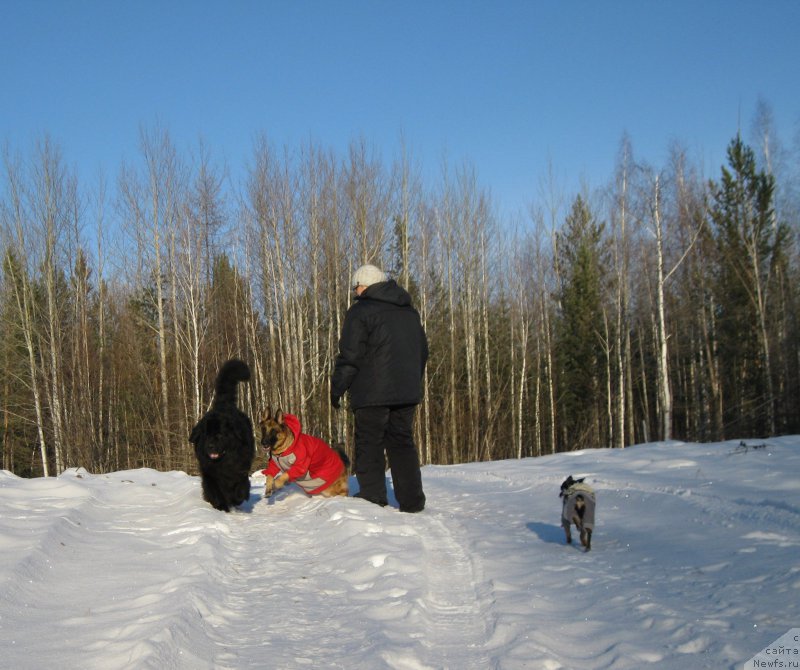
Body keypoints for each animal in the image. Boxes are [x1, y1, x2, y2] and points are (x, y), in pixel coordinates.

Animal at [189, 360, 255, 512]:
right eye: (206, 435)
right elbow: (214, 490)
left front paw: (237, 498)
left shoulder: (240, 469)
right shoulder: (209, 472)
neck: (223, 462)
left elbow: (241, 486)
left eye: (220, 435)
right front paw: (221, 505)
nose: (210, 446)